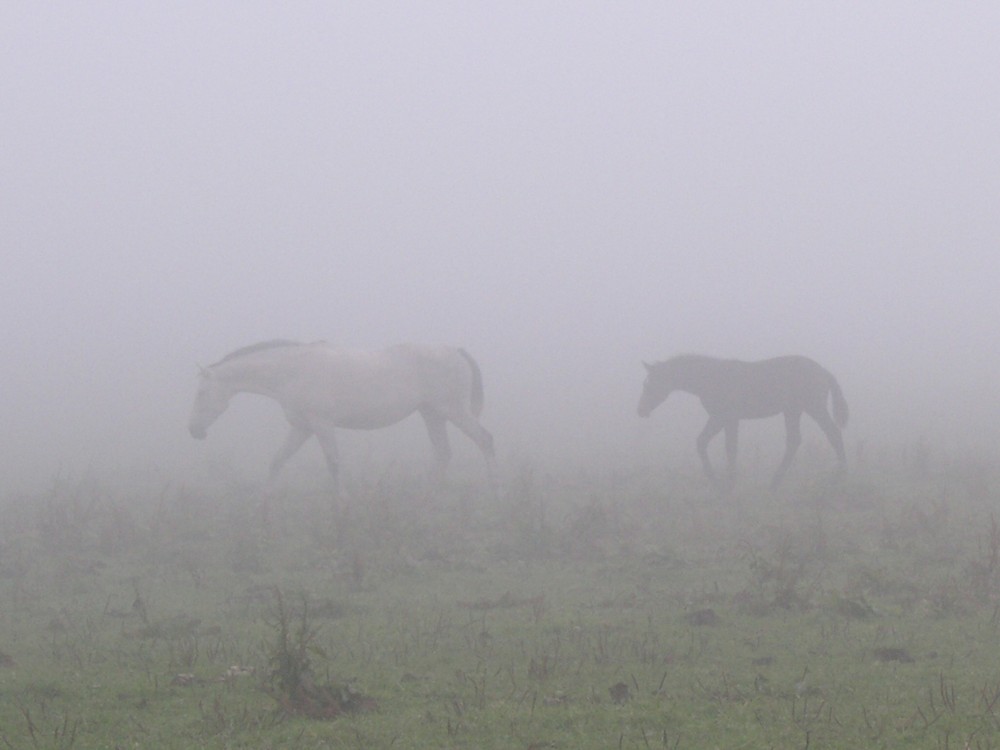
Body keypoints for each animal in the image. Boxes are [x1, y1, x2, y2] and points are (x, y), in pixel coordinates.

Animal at [188, 342, 496, 494]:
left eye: (201, 393)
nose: (194, 431)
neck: (292, 371)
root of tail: (455, 352)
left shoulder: (322, 426)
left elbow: (334, 465)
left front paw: (341, 508)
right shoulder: (302, 428)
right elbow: (277, 462)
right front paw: (262, 507)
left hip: (453, 411)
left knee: (485, 440)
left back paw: (491, 490)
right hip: (432, 414)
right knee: (443, 453)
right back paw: (429, 498)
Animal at [640, 356, 844, 488]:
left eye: (650, 384)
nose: (640, 410)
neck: (710, 378)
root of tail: (825, 373)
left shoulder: (723, 417)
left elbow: (723, 446)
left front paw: (723, 482)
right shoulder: (725, 419)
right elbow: (718, 444)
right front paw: (724, 480)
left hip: (814, 408)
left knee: (833, 434)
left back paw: (838, 479)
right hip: (792, 411)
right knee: (794, 440)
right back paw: (775, 482)